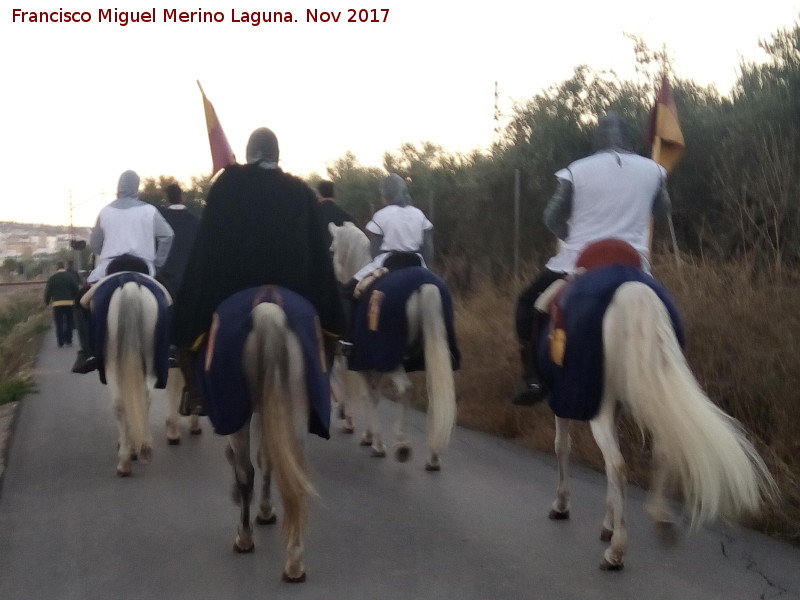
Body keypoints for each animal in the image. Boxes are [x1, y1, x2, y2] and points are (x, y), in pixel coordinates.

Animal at [328, 223, 456, 472]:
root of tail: (424, 285)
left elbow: (371, 397)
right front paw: (370, 436)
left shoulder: (366, 362)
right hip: (430, 353)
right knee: (435, 395)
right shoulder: (375, 364)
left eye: (332, 250)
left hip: (391, 359)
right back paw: (433, 456)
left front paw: (375, 442)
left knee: (405, 389)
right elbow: (375, 395)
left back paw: (402, 445)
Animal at [544, 278, 776, 568]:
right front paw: (607, 525)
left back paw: (616, 552)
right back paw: (659, 521)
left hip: (604, 407)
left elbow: (562, 446)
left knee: (617, 465)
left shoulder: (564, 401)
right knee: (660, 452)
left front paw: (561, 506)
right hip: (652, 394)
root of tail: (635, 294)